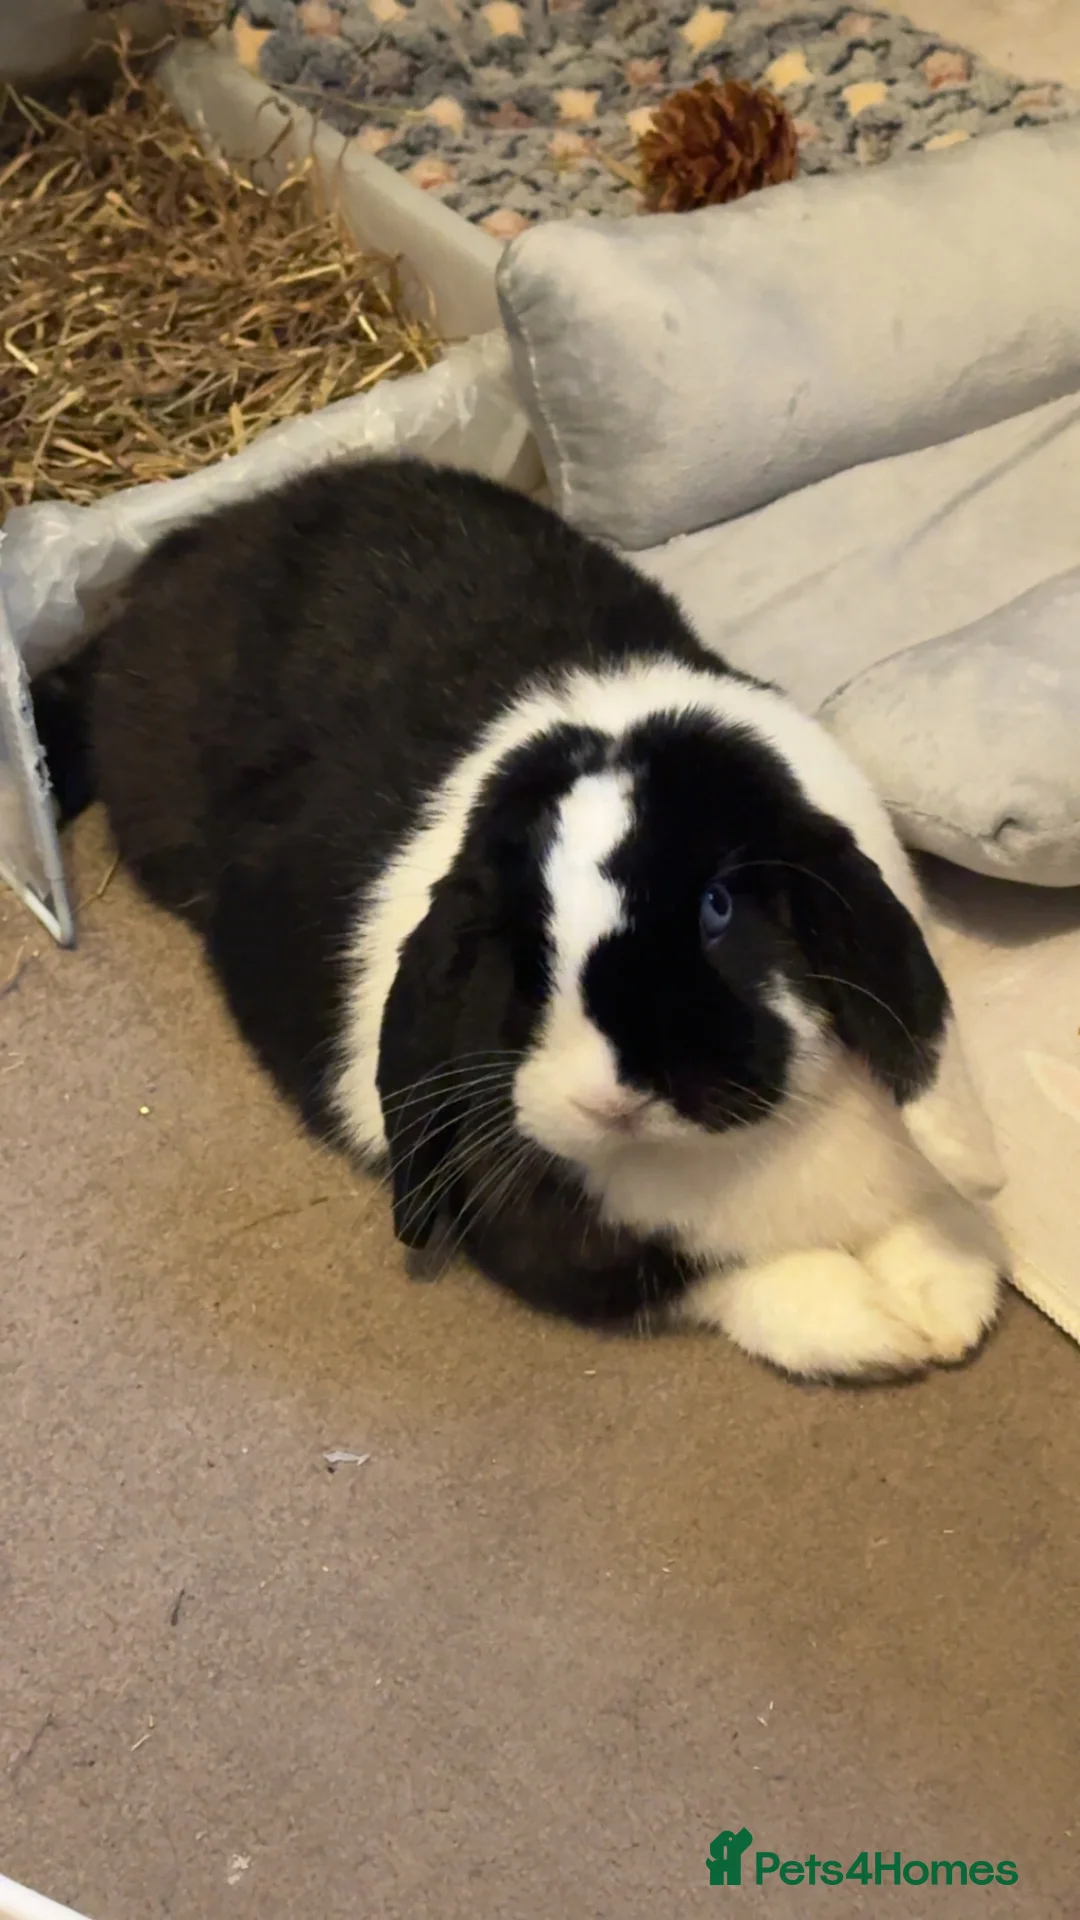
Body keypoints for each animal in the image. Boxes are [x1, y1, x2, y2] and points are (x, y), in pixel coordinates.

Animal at [34, 456, 1008, 1379]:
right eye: (515, 944)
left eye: (718, 906)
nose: (611, 1101)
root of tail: (203, 539)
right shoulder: (564, 1243)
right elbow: (711, 1276)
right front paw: (883, 1327)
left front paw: (947, 1288)